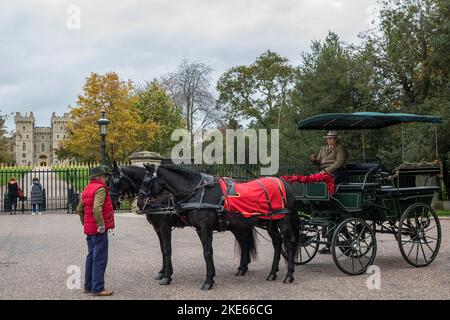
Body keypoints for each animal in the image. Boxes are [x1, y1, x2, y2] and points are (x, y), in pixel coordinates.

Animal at [107, 164, 258, 286]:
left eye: (115, 181)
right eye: (108, 181)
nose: (111, 201)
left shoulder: (164, 226)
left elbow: (167, 249)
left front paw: (167, 276)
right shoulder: (157, 228)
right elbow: (162, 249)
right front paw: (162, 272)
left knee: (243, 242)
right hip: (236, 225)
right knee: (243, 242)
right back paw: (242, 267)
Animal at [138, 164, 298, 292]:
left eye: (146, 181)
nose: (140, 203)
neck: (199, 193)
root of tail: (284, 182)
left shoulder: (202, 227)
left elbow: (206, 252)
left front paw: (208, 280)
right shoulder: (198, 229)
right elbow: (205, 251)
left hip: (283, 220)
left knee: (289, 243)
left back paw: (289, 275)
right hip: (270, 222)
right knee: (277, 243)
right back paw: (272, 273)